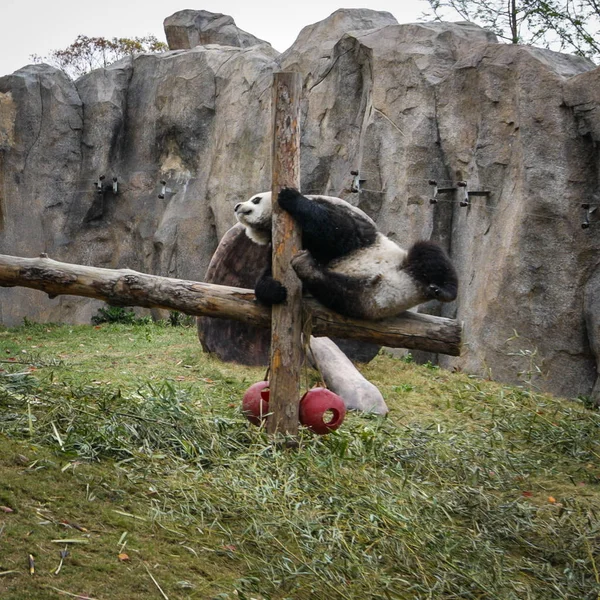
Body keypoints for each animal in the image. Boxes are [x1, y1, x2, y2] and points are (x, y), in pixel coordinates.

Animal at [234, 188, 460, 322]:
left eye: (255, 199)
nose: (237, 206)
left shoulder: (337, 212)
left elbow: (341, 232)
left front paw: (291, 197)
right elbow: (269, 274)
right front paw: (274, 289)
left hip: (403, 262)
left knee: (430, 253)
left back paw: (444, 290)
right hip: (359, 303)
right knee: (337, 292)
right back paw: (308, 269)